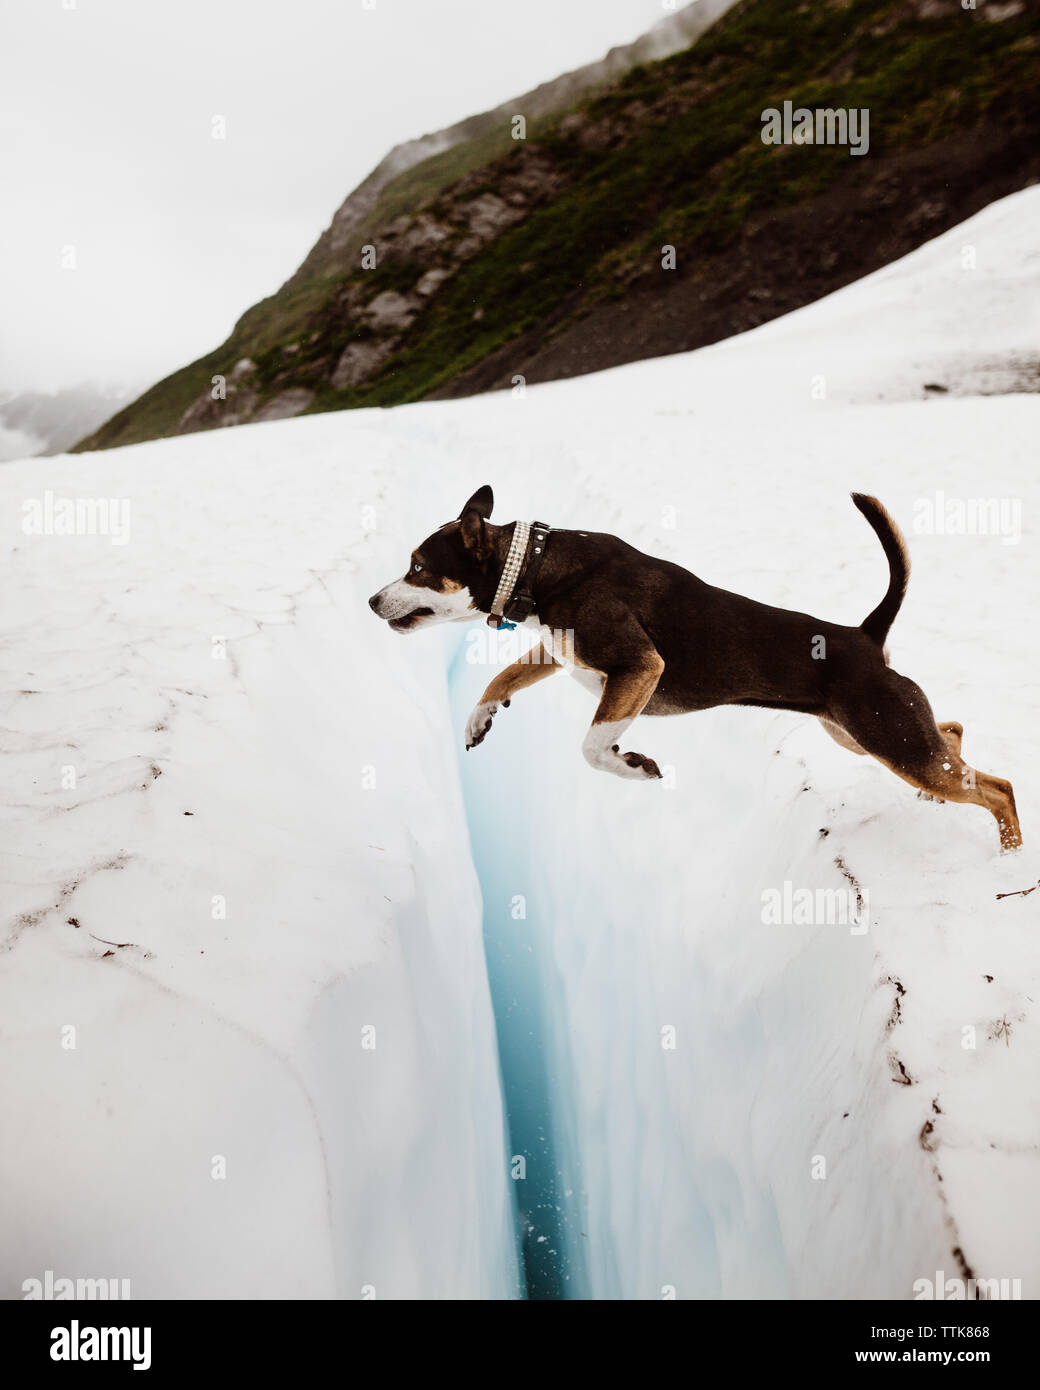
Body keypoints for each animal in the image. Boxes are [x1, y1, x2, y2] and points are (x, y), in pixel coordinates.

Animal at [369, 489, 1017, 856]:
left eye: (418, 567)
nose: (372, 601)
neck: (534, 566)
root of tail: (864, 637)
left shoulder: (637, 666)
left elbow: (592, 747)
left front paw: (634, 765)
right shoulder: (557, 652)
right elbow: (499, 679)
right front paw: (478, 720)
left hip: (889, 736)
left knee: (998, 787)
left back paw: (1009, 857)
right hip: (861, 734)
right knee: (953, 735)